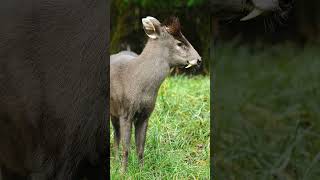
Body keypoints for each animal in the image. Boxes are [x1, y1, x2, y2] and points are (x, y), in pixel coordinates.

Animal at [110, 16, 200, 171]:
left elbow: (140, 148)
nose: (199, 59)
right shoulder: (125, 112)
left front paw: (141, 170)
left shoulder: (145, 114)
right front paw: (123, 172)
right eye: (179, 43)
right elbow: (126, 147)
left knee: (116, 133)